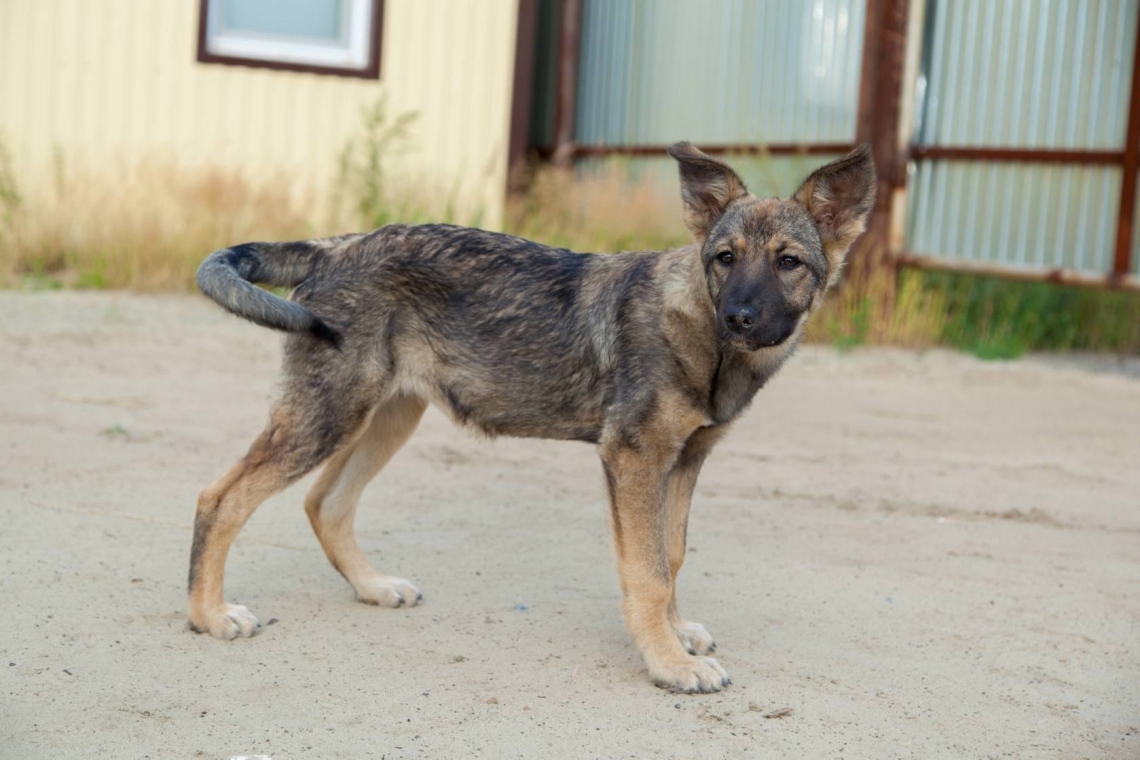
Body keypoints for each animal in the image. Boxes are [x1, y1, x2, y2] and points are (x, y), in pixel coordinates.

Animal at [191, 142, 875, 697]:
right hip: (329, 414)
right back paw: (209, 616)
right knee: (221, 498)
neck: (704, 336)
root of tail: (334, 247)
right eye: (725, 258)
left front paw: (677, 635)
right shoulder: (634, 457)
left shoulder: (685, 461)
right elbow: (648, 571)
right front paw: (669, 664)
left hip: (386, 415)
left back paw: (372, 587)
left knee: (325, 502)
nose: (740, 317)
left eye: (789, 262)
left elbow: (673, 554)